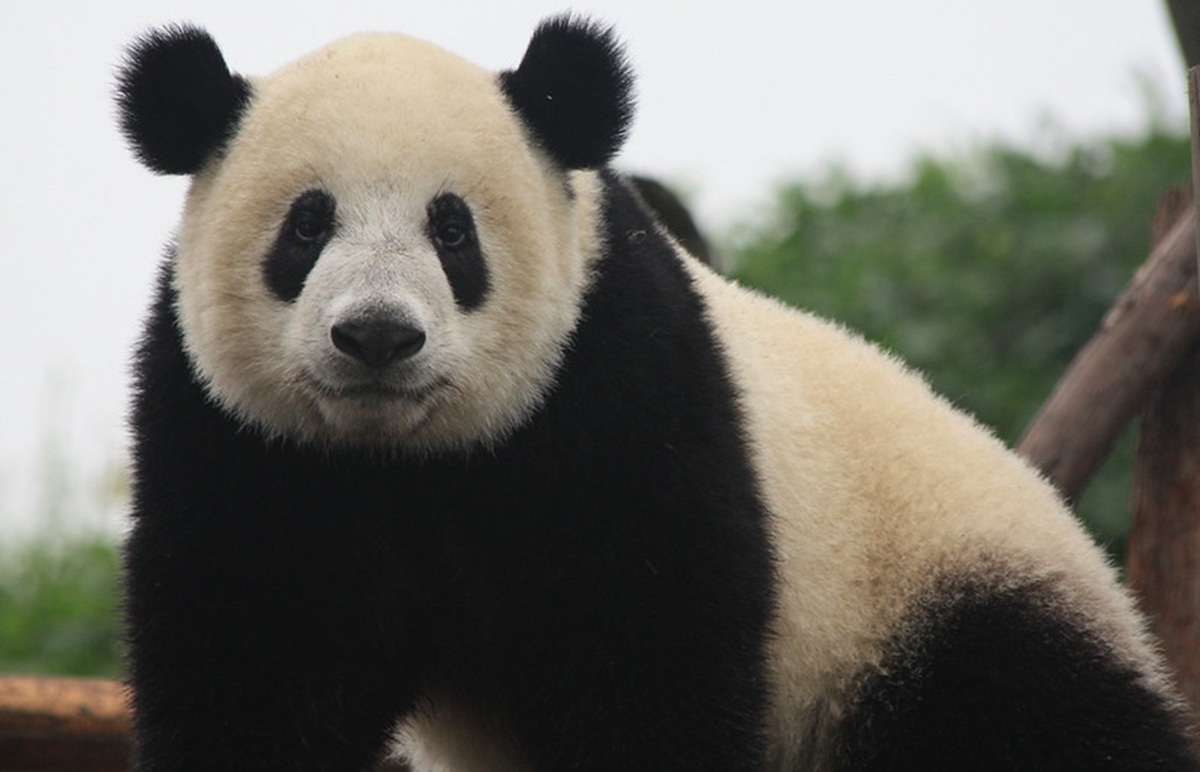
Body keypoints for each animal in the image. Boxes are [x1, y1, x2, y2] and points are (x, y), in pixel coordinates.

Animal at [115, 16, 1198, 771]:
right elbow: (258, 658)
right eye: (307, 226)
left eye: (452, 230)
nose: (377, 336)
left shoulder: (618, 378)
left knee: (1037, 720)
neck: (408, 457)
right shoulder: (239, 437)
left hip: (934, 606)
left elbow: (644, 647)